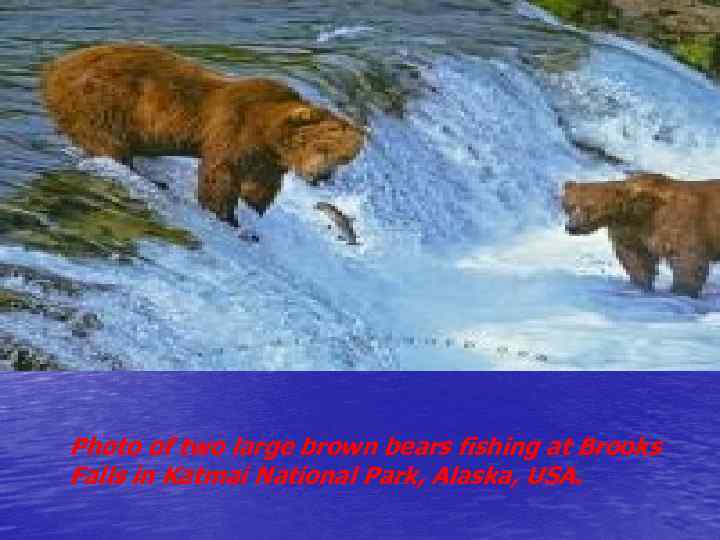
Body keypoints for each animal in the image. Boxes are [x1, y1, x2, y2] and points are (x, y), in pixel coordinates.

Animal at [40, 43, 366, 227]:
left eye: (343, 159)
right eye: (324, 148)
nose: (321, 177)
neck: (268, 132)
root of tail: (53, 67)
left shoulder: (265, 156)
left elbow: (260, 185)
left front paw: (253, 207)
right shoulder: (235, 129)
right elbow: (220, 176)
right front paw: (225, 216)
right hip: (103, 100)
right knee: (107, 142)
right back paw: (146, 177)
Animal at [562, 173, 720, 298]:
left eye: (589, 206)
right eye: (570, 206)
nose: (572, 227)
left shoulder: (675, 225)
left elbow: (688, 259)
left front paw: (681, 291)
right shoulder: (630, 232)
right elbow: (636, 260)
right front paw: (641, 286)